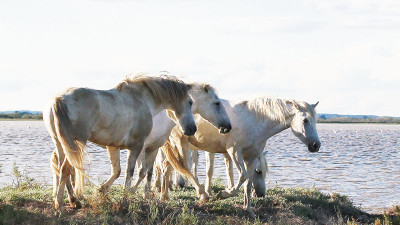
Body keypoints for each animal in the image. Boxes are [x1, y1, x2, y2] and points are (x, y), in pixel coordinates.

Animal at [43, 74, 197, 213]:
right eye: (190, 102)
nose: (192, 129)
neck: (142, 100)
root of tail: (59, 99)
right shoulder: (136, 146)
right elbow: (131, 172)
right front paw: (125, 197)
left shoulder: (114, 146)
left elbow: (117, 171)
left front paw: (102, 190)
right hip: (76, 143)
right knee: (66, 169)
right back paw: (61, 206)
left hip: (61, 144)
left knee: (62, 169)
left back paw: (73, 201)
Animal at [159, 97, 318, 217]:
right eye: (305, 120)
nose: (316, 145)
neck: (254, 120)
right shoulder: (234, 151)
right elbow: (242, 176)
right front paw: (223, 194)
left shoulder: (252, 157)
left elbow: (247, 183)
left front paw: (248, 210)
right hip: (180, 144)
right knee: (182, 167)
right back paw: (200, 194)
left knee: (167, 167)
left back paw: (164, 197)